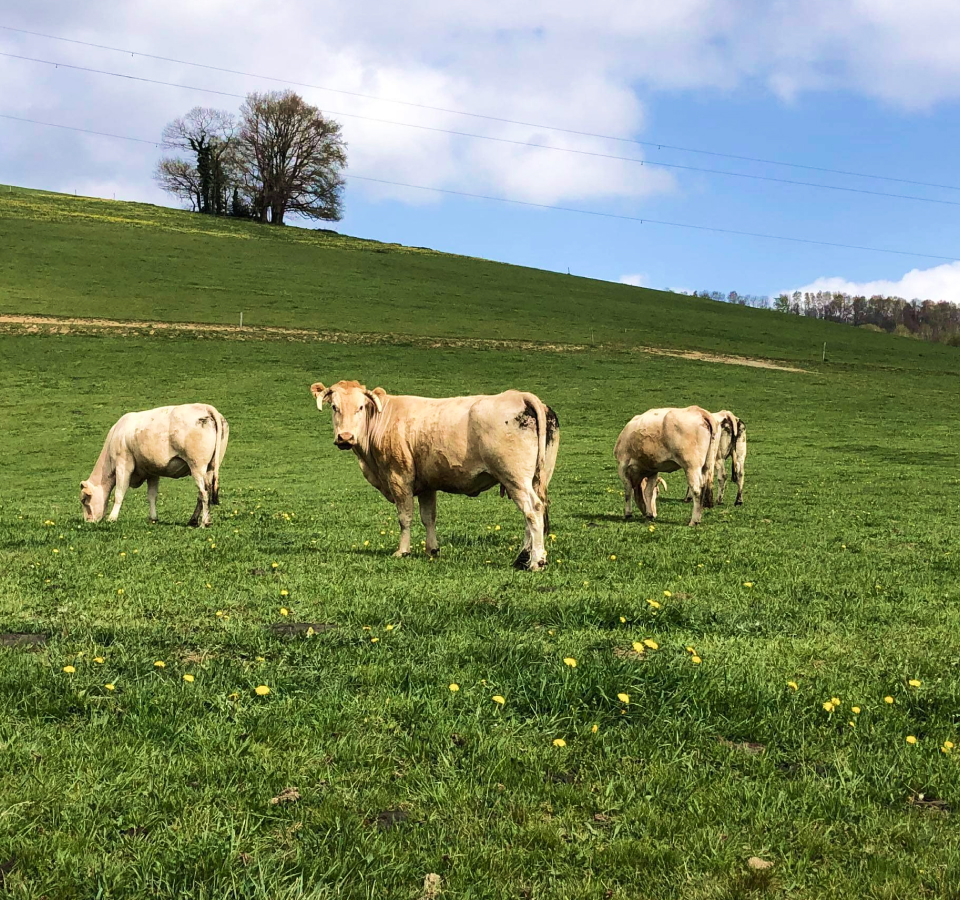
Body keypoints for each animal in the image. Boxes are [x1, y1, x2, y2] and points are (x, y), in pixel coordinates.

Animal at [80, 404, 229, 526]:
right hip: (210, 467)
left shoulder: (123, 464)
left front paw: (112, 518)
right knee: (203, 492)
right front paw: (153, 518)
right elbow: (152, 496)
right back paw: (193, 520)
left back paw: (204, 523)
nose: (88, 522)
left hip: (197, 466)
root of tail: (205, 407)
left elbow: (119, 493)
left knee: (204, 492)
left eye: (84, 500)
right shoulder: (152, 471)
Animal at [310, 381, 559, 570]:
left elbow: (405, 517)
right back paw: (522, 559)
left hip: (514, 478)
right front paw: (432, 549)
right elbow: (428, 517)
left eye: (361, 407)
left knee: (533, 511)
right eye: (334, 407)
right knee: (531, 514)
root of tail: (520, 395)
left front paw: (403, 551)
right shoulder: (427, 484)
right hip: (536, 478)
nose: (345, 437)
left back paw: (536, 561)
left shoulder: (399, 477)